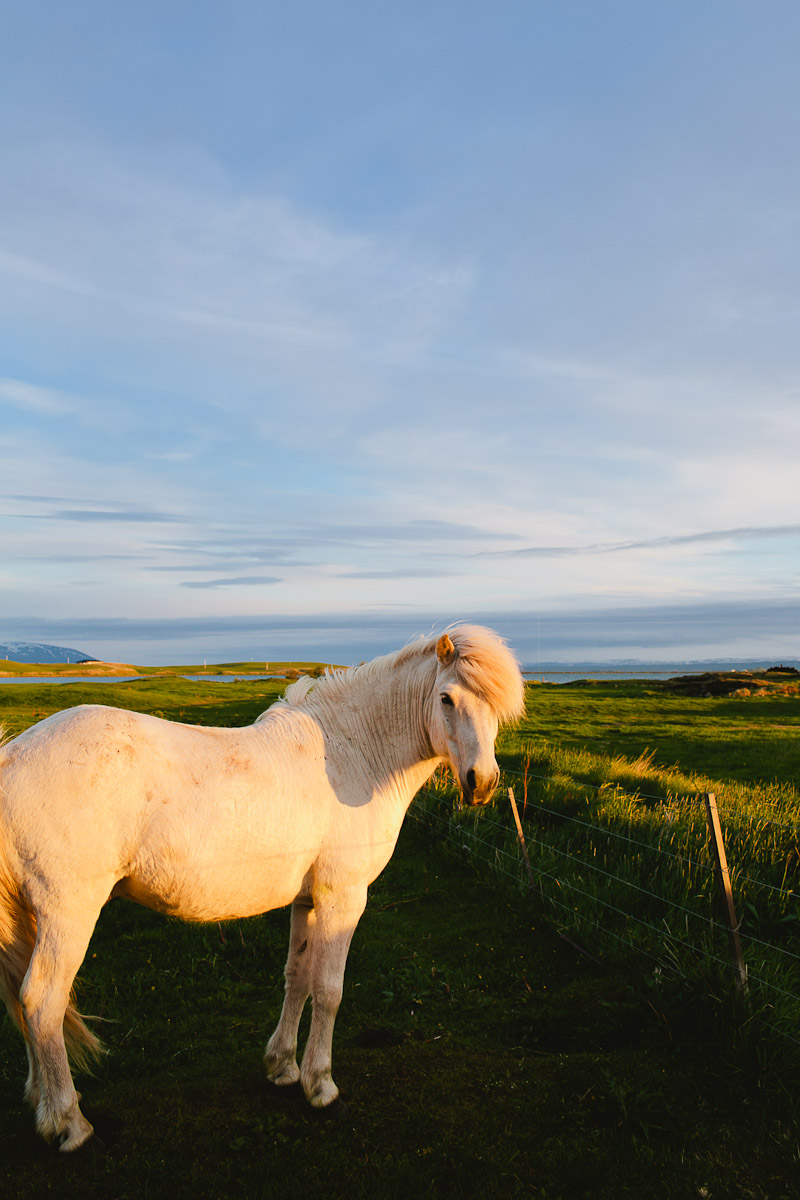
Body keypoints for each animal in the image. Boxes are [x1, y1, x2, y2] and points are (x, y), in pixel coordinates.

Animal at [0, 624, 525, 1147]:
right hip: (68, 914)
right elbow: (329, 990)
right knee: (42, 1002)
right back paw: (69, 1122)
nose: (481, 783)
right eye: (447, 698)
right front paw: (322, 1087)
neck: (351, 755)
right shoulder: (343, 900)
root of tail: (14, 756)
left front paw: (284, 1068)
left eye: (498, 709)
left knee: (23, 1001)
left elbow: (298, 979)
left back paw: (42, 1104)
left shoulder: (307, 902)